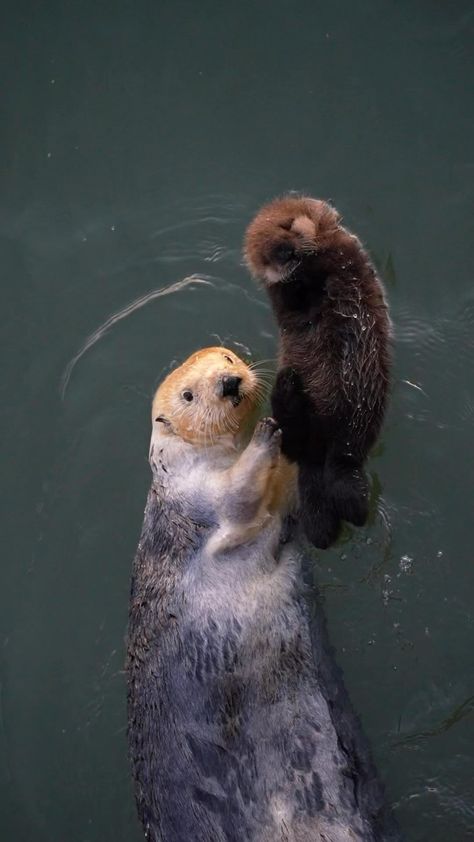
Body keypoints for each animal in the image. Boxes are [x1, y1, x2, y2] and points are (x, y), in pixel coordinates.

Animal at [127, 344, 400, 836]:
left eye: (228, 359)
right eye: (189, 394)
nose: (229, 383)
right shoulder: (198, 495)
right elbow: (237, 498)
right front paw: (266, 432)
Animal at [244, 194, 392, 548]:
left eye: (285, 224)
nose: (285, 252)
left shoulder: (345, 257)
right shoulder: (286, 296)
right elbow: (291, 297)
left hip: (359, 426)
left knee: (344, 470)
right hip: (312, 433)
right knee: (296, 444)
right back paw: (287, 385)